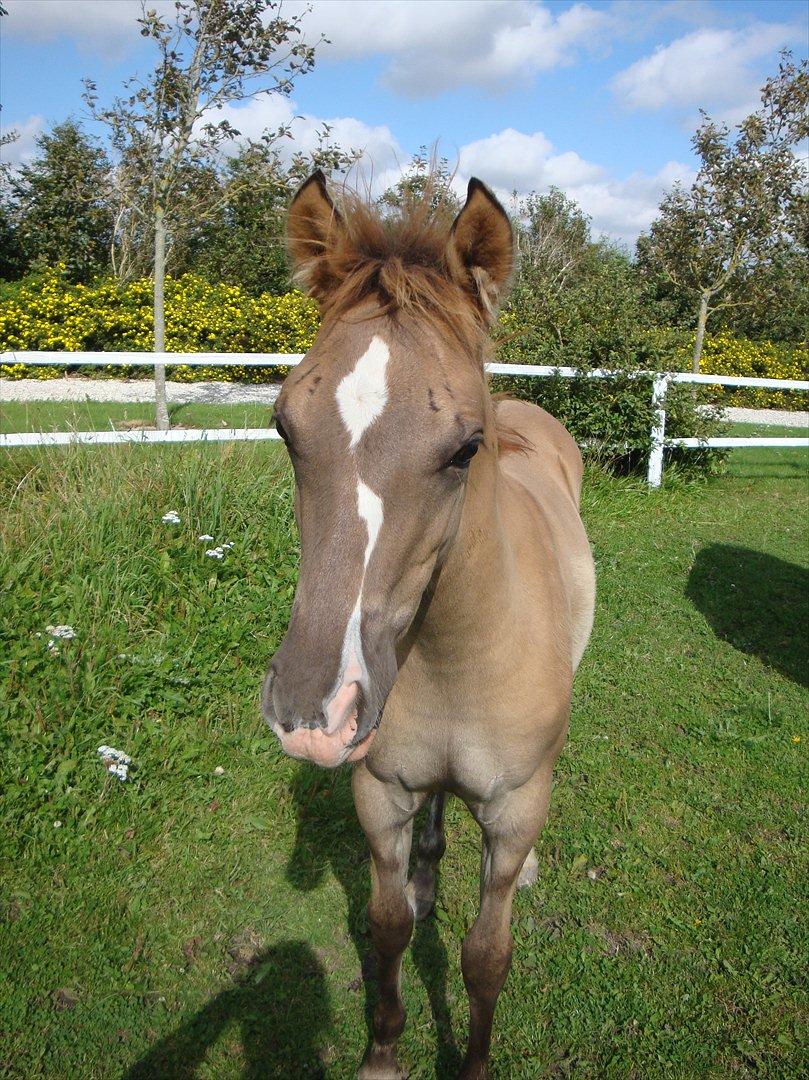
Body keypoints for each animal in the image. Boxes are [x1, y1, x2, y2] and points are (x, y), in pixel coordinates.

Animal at [262, 172, 596, 1075]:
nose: (311, 711)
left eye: (463, 447)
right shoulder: (379, 791)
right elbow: (385, 930)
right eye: (284, 426)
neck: (454, 653)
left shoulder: (511, 812)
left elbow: (485, 957)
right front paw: (382, 1053)